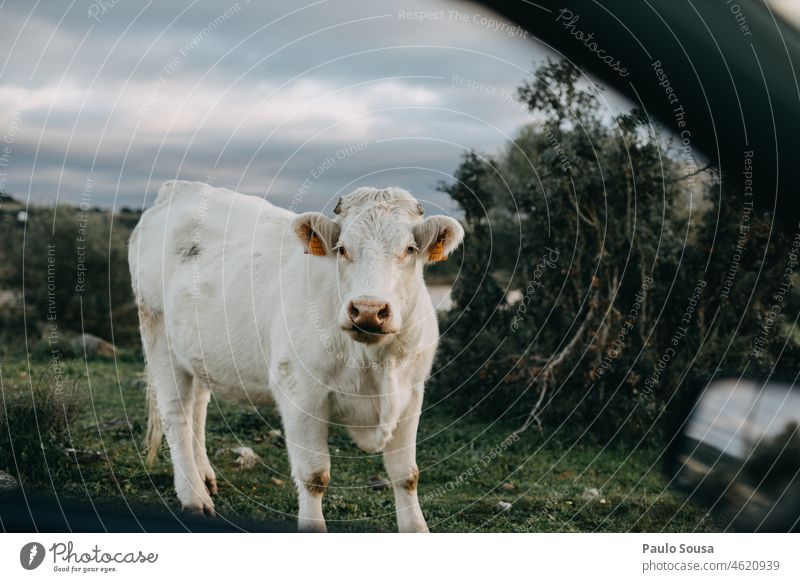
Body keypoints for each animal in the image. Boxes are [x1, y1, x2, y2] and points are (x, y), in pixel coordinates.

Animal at [125, 182, 462, 532]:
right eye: (342, 248)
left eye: (409, 249)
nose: (368, 310)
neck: (373, 360)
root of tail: (182, 189)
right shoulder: (301, 393)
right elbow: (314, 477)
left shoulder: (411, 394)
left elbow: (406, 475)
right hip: (158, 333)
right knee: (176, 414)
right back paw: (194, 496)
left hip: (197, 349)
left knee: (197, 408)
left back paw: (204, 477)